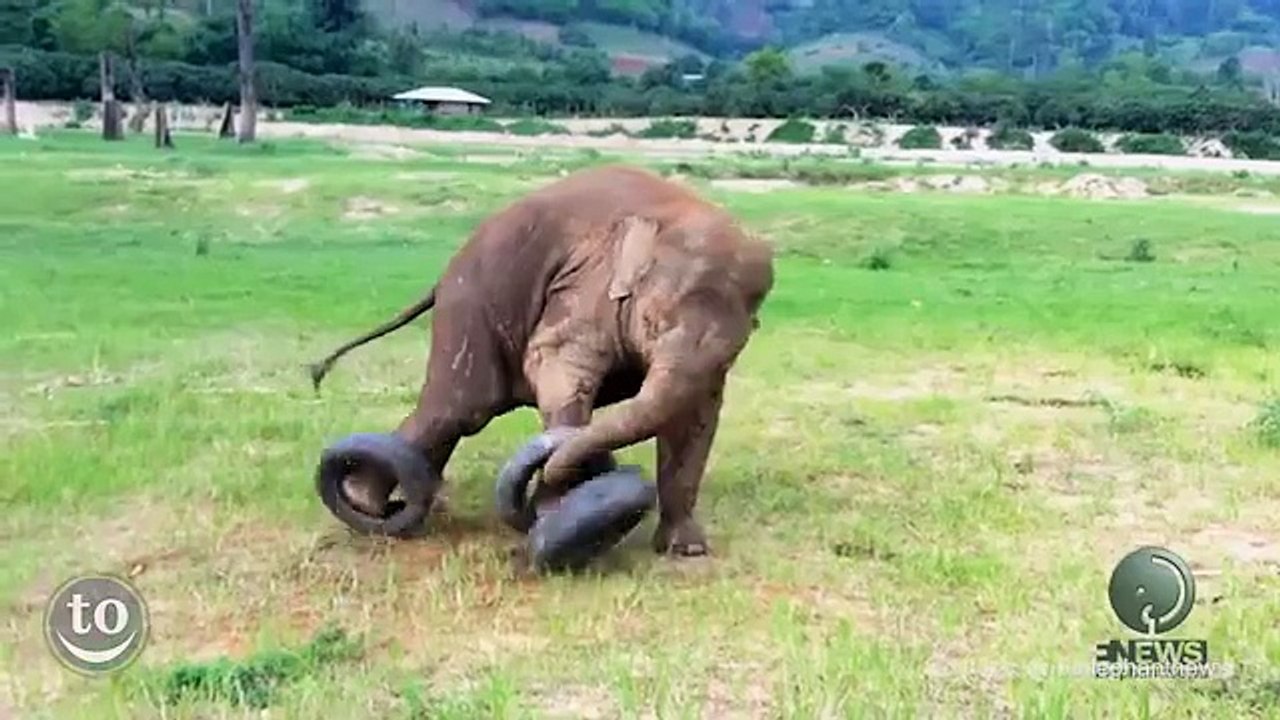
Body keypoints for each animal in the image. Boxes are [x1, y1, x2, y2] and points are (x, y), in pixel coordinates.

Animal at [308, 164, 774, 556]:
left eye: (739, 343)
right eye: (651, 322)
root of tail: (441, 279)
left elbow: (694, 416)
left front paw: (686, 550)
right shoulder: (586, 284)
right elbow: (555, 363)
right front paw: (557, 509)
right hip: (470, 305)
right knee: (458, 408)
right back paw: (364, 505)